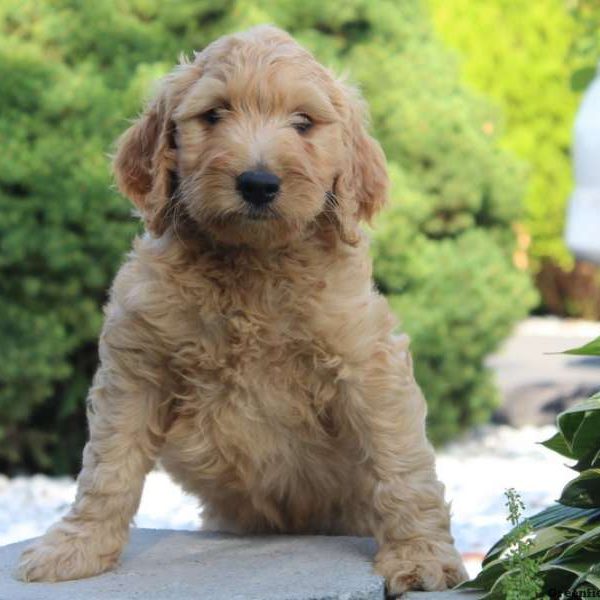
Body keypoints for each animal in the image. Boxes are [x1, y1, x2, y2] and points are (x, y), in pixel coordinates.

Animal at [17, 24, 468, 596]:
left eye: (303, 123)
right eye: (213, 115)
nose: (258, 183)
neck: (249, 266)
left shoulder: (367, 362)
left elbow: (399, 462)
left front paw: (421, 556)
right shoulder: (136, 366)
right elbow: (107, 465)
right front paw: (78, 547)